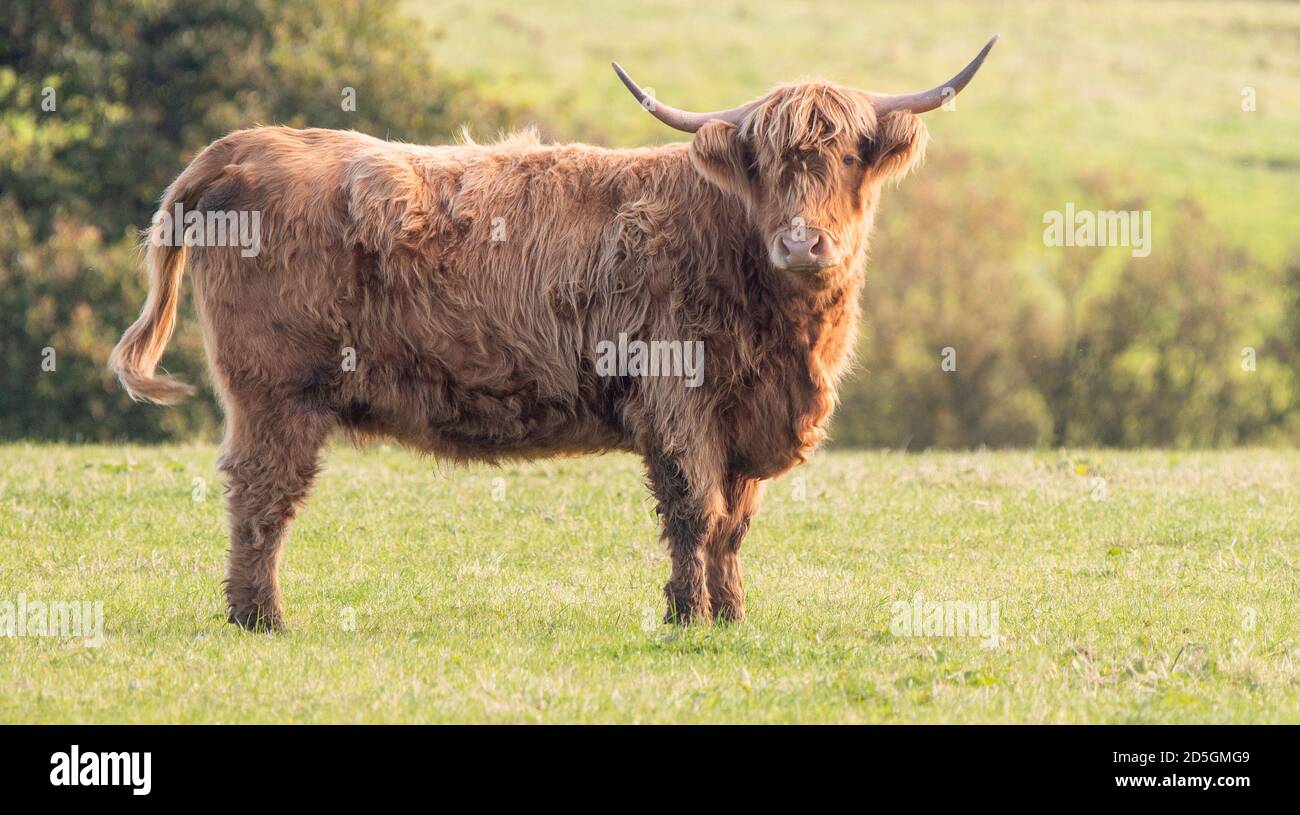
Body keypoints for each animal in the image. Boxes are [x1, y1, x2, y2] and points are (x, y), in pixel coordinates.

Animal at [110, 38, 997, 630]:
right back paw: (260, 617)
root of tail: (247, 145)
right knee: (262, 492)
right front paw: (687, 617)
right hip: (276, 391)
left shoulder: (746, 418)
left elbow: (734, 521)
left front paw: (732, 614)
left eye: (848, 158)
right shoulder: (677, 398)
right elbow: (696, 508)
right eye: (769, 164)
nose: (804, 243)